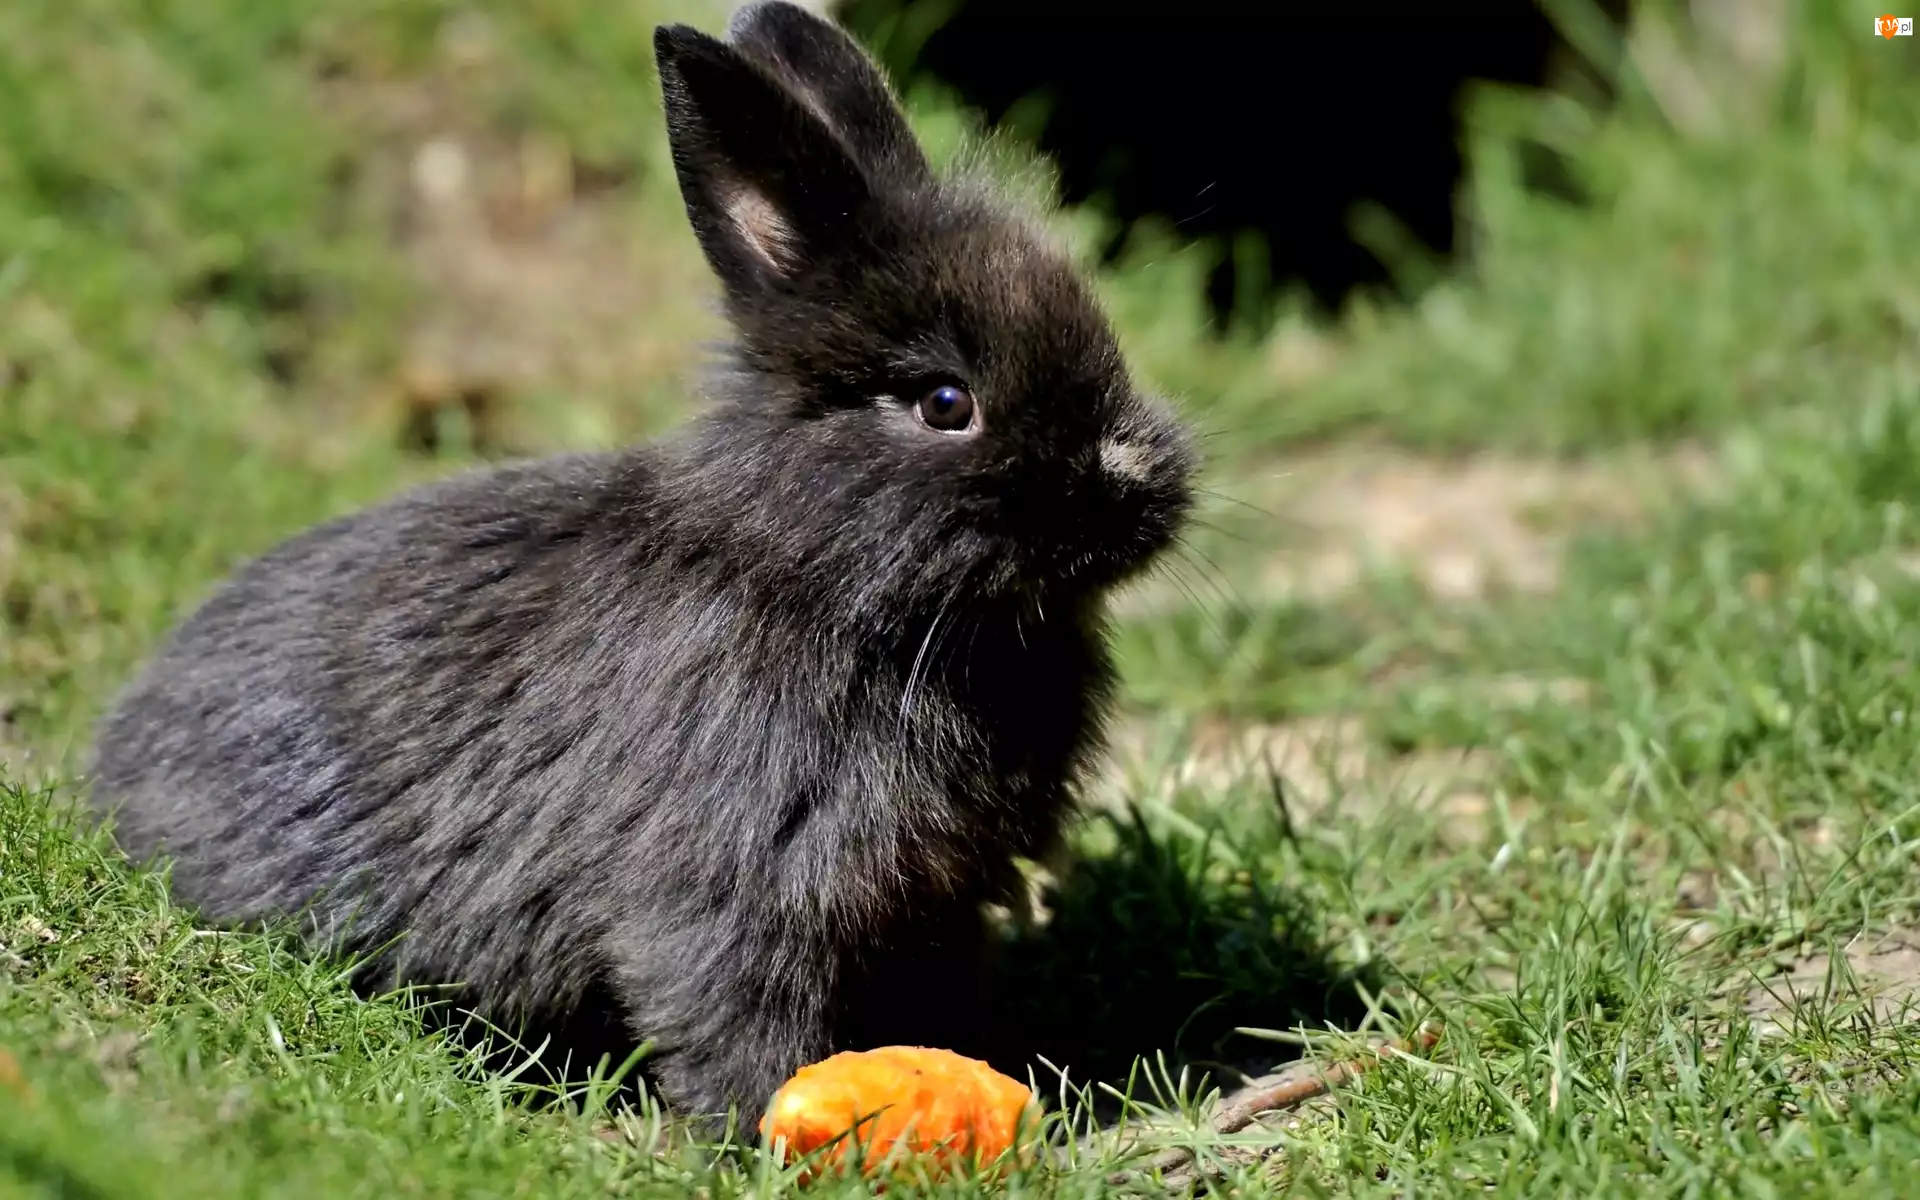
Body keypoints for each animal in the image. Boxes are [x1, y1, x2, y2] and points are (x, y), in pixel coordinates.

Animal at [85, 0, 1196, 1131]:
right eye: (943, 403)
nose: (1142, 489)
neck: (816, 575)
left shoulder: (941, 900)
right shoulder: (733, 888)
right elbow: (726, 1010)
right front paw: (757, 1129)